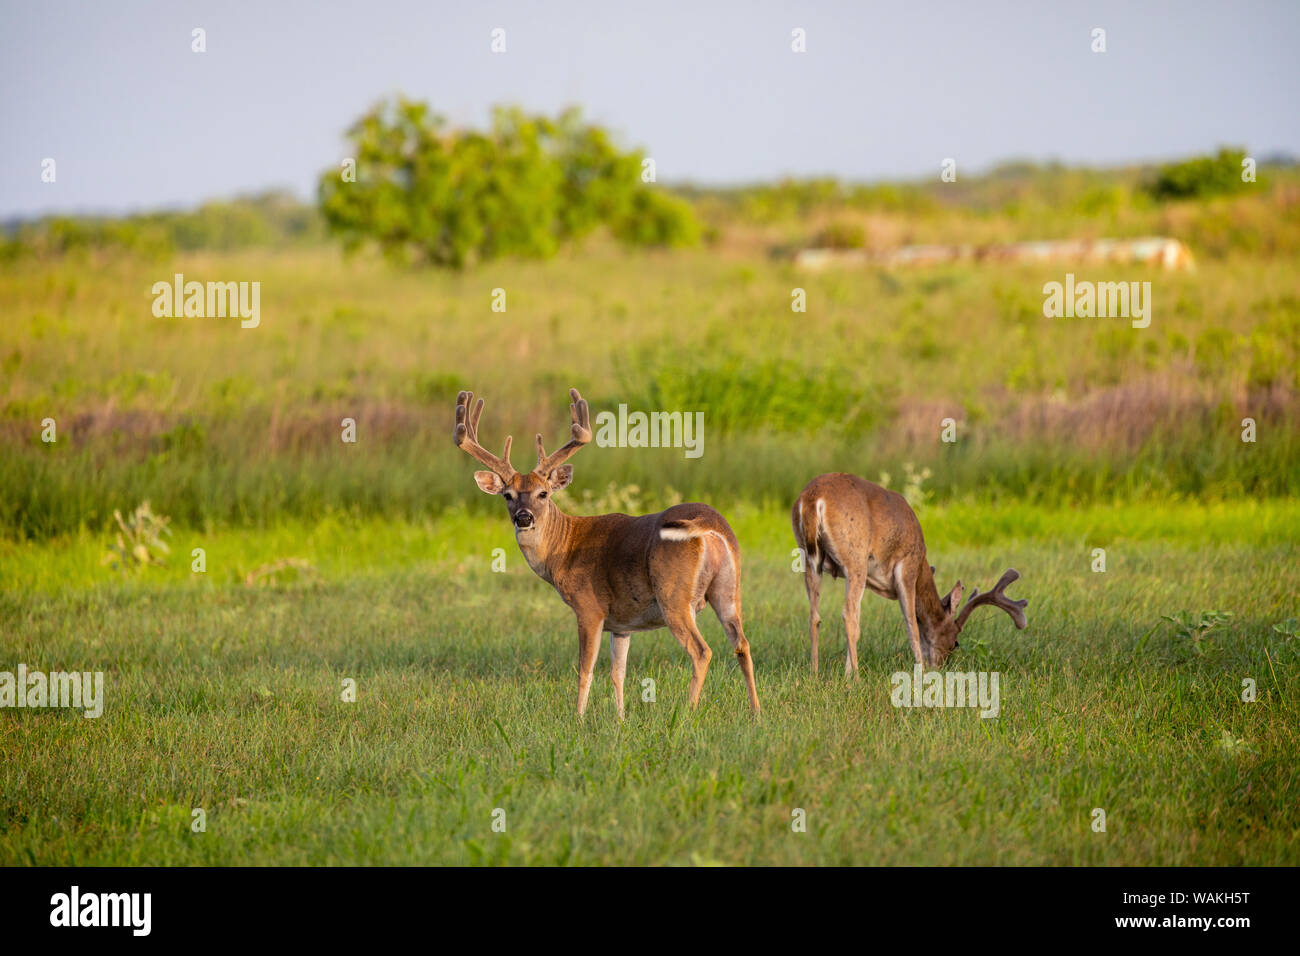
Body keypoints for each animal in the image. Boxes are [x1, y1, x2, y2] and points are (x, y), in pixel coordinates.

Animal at [457, 387, 759, 717]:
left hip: (674, 595)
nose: (524, 517)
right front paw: (620, 719)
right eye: (508, 495)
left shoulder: (589, 608)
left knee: (701, 650)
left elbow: (585, 669)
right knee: (742, 643)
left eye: (543, 493)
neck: (563, 549)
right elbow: (618, 673)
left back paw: (687, 713)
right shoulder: (622, 624)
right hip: (729, 588)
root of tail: (708, 526)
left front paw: (577, 717)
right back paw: (755, 713)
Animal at [785, 473, 1029, 671]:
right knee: (848, 614)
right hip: (855, 559)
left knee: (815, 616)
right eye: (956, 642)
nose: (941, 665)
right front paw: (920, 670)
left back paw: (815, 674)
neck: (922, 564)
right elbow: (912, 623)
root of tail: (812, 500)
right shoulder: (907, 566)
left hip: (810, 559)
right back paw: (856, 678)